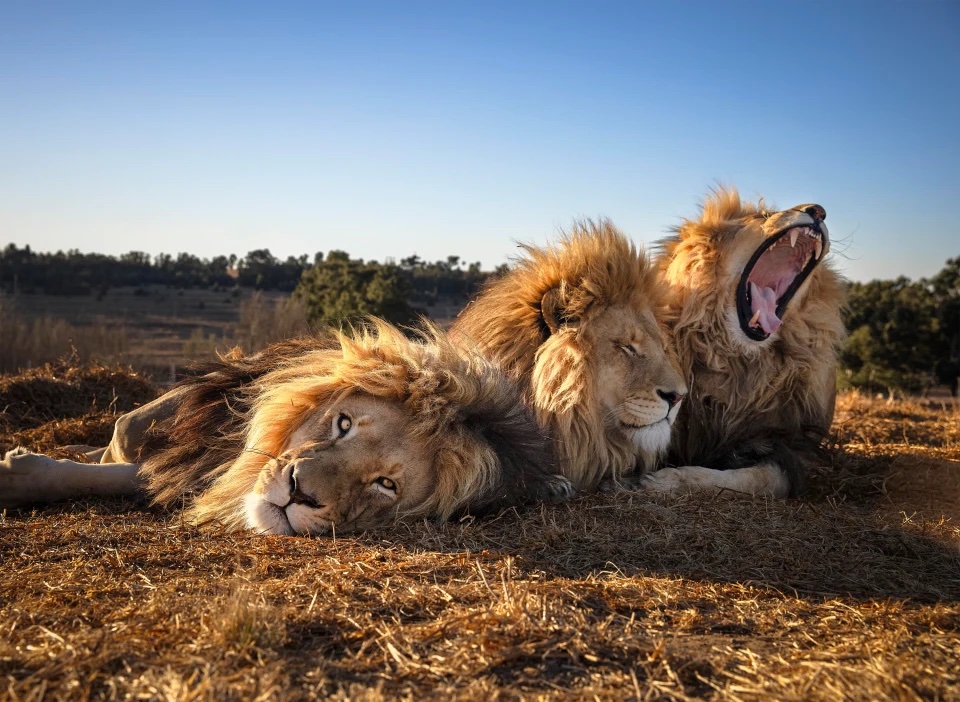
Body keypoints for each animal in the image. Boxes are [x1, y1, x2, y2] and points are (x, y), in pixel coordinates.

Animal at [645, 188, 846, 497]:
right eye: (762, 216)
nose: (819, 211)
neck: (736, 361)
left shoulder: (792, 445)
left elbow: (760, 479)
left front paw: (668, 480)